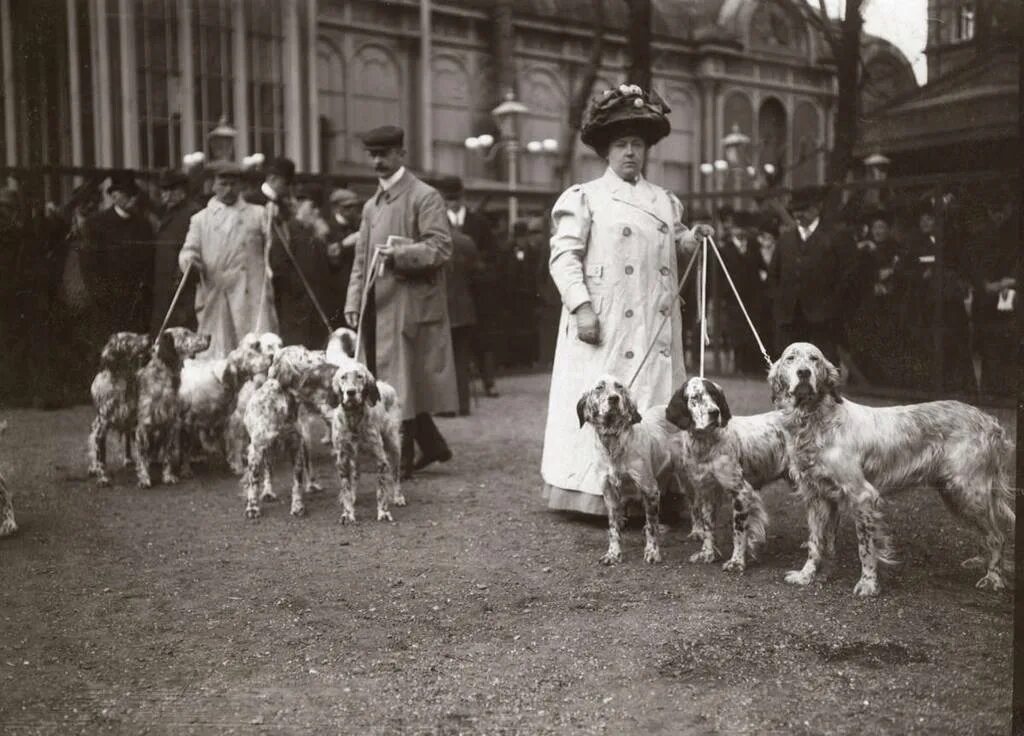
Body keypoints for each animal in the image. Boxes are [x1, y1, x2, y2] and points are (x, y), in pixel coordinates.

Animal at [87, 331, 149, 487]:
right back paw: (93, 468)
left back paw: (128, 459)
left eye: (136, 334)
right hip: (97, 425)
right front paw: (102, 477)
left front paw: (144, 477)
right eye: (128, 339)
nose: (149, 337)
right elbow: (100, 457)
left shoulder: (135, 424)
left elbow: (142, 456)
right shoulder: (101, 428)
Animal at [331, 356, 403, 524]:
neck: (353, 419)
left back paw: (398, 497)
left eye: (360, 376)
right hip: (355, 456)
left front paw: (383, 512)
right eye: (343, 377)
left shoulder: (381, 459)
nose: (350, 392)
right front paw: (347, 513)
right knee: (355, 475)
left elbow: (381, 490)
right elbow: (346, 487)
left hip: (394, 445)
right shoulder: (342, 459)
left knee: (396, 474)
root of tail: (385, 384)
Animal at [581, 376, 684, 569]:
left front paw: (652, 552)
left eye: (619, 387)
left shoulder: (649, 489)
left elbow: (651, 526)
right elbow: (613, 528)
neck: (614, 445)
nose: (614, 398)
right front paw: (613, 554)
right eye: (599, 387)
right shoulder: (610, 494)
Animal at [663, 376, 782, 573]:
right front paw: (708, 553)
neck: (706, 444)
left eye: (715, 396)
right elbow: (708, 526)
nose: (714, 412)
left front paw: (737, 562)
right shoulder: (707, 491)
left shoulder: (741, 492)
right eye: (695, 397)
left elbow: (738, 532)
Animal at [770, 341, 1015, 597]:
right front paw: (806, 575)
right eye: (790, 358)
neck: (817, 420)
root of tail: (989, 421)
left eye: (814, 359)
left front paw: (868, 583)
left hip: (966, 491)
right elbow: (815, 542)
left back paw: (993, 578)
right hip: (956, 493)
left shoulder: (863, 496)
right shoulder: (817, 496)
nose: (804, 373)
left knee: (997, 536)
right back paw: (980, 563)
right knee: (987, 535)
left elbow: (866, 548)